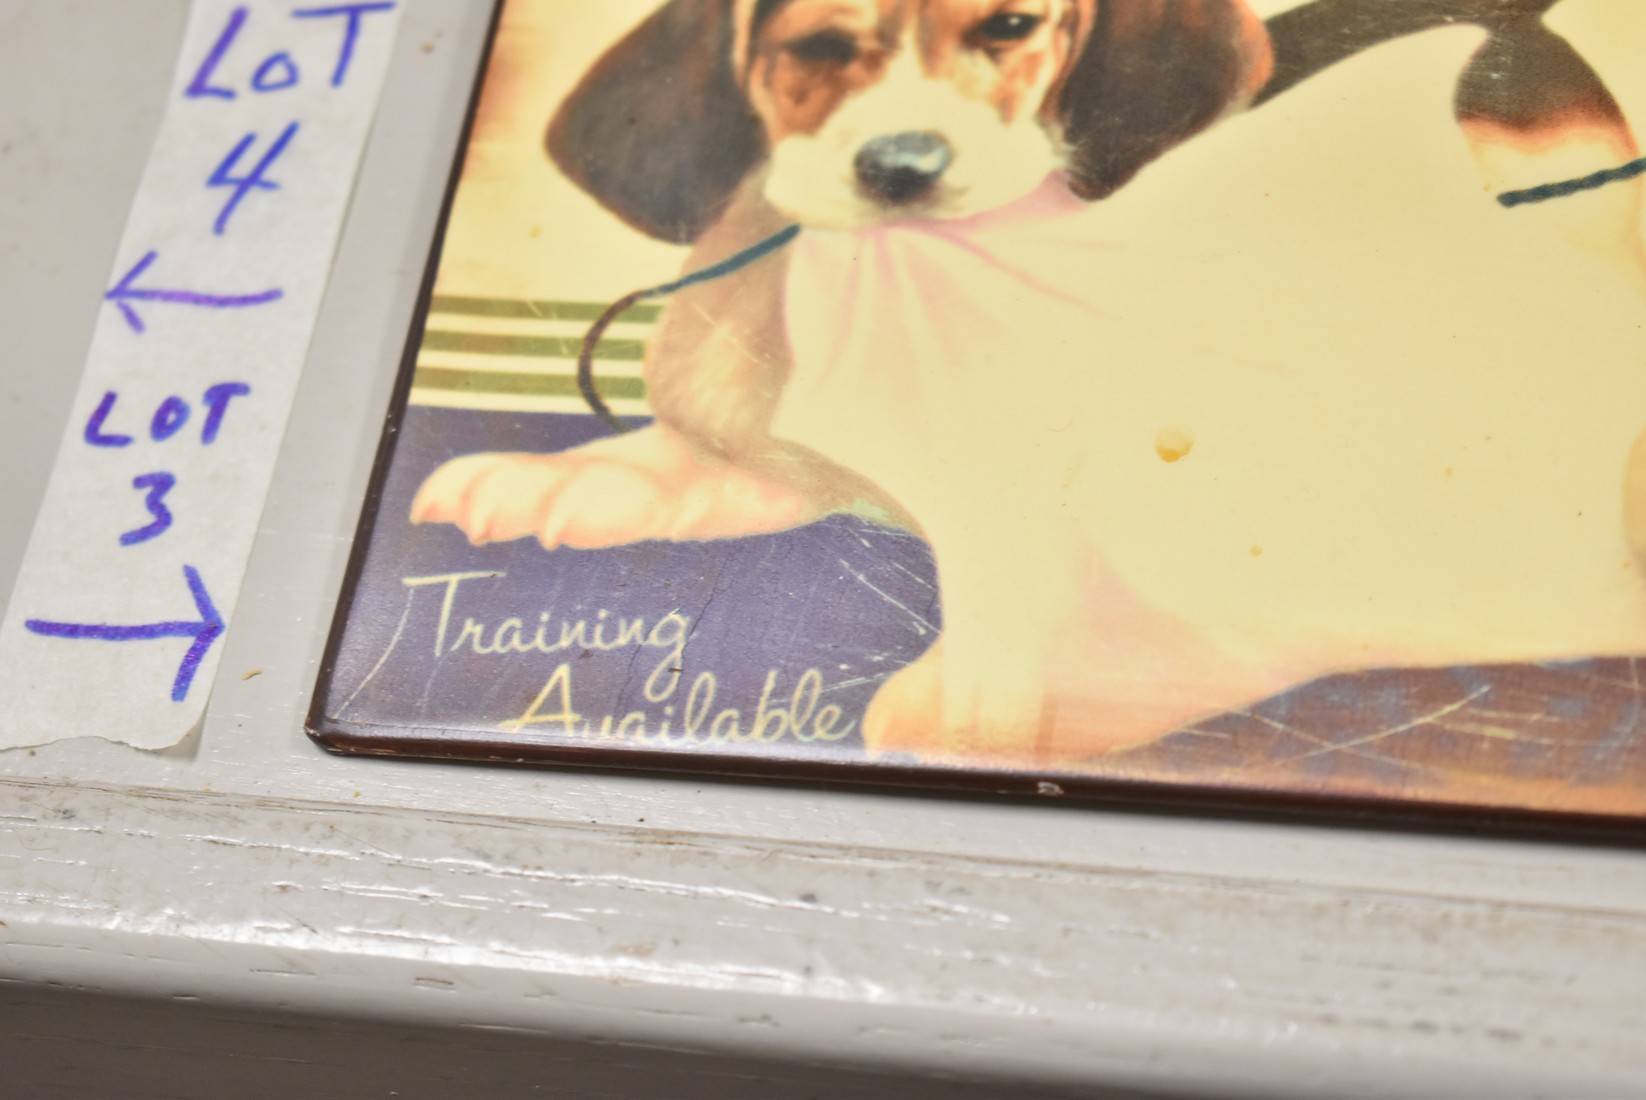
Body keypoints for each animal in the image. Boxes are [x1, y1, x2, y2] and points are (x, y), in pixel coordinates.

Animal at [412, 0, 1646, 768]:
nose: (902, 165)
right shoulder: (765, 453)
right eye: (815, 45)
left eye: (1009, 26)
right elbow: (666, 461)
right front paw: (542, 481)